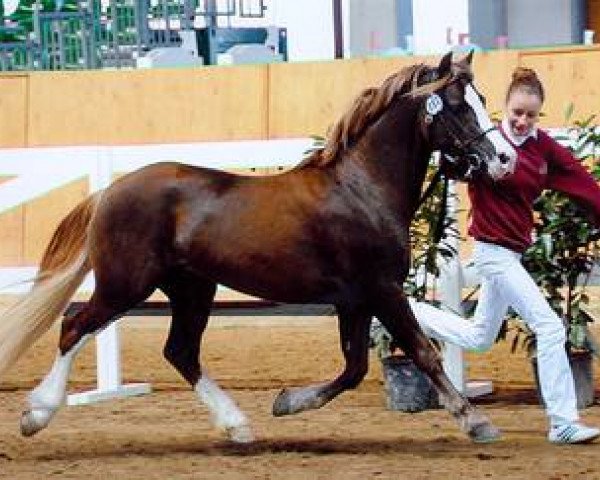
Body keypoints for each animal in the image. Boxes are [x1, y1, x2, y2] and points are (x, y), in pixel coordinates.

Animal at [0, 51, 516, 442]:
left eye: (482, 99)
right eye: (458, 105)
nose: (505, 160)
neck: (361, 188)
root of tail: (109, 191)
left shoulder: (354, 299)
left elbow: (353, 368)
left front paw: (286, 402)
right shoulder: (382, 289)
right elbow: (421, 352)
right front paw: (475, 421)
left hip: (192, 289)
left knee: (180, 351)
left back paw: (237, 426)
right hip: (125, 285)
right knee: (74, 327)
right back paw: (35, 414)